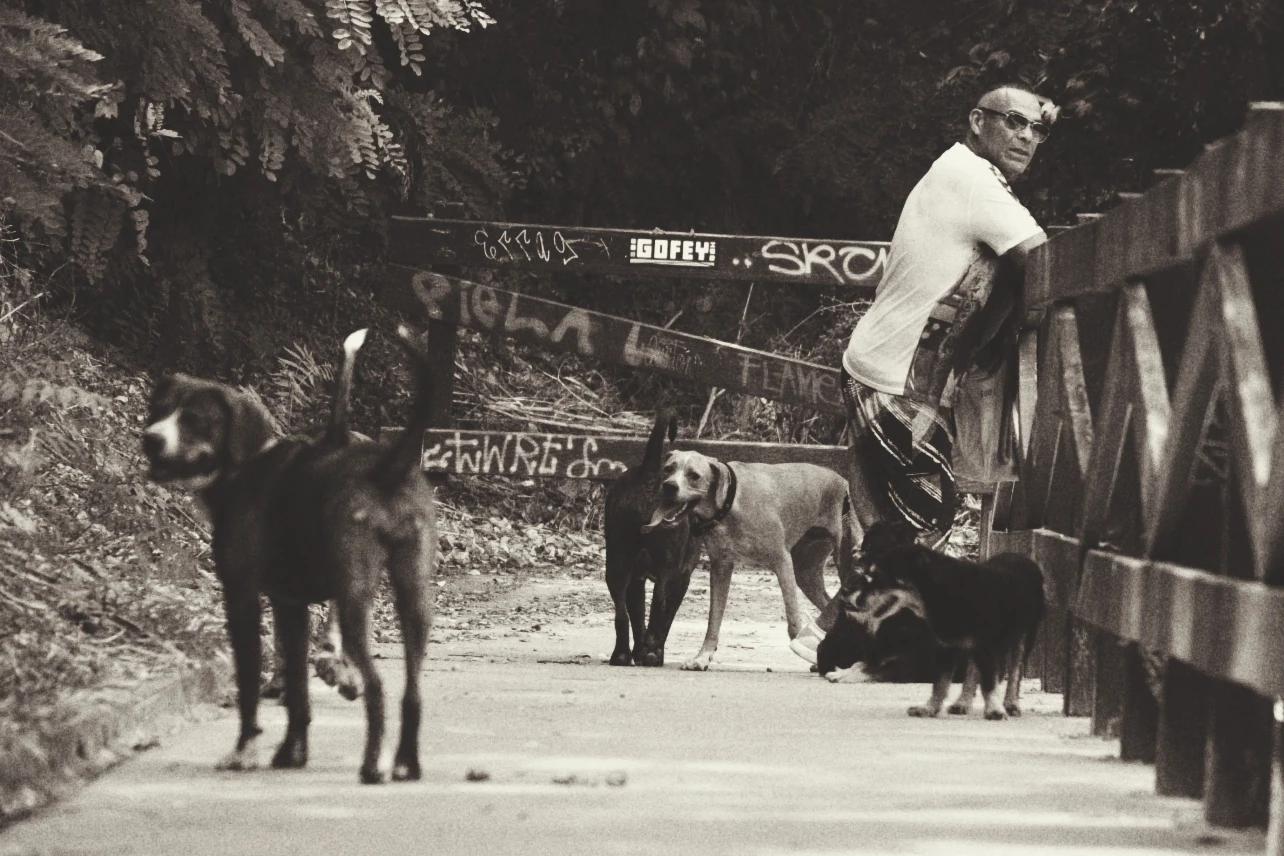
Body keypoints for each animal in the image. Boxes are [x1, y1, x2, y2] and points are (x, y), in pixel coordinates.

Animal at [142, 325, 436, 785]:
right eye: (157, 409)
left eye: (194, 420)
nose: (150, 439)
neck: (246, 465)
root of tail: (386, 466)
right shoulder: (290, 607)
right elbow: (298, 693)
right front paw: (291, 752)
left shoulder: (241, 598)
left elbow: (248, 682)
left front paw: (244, 751)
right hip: (415, 599)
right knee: (412, 691)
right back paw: (406, 762)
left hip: (355, 596)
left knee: (377, 687)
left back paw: (372, 764)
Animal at [603, 408, 703, 667]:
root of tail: (649, 476)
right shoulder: (681, 577)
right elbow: (665, 617)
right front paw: (651, 651)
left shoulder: (636, 579)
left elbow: (637, 615)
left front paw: (639, 651)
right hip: (666, 567)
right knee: (659, 603)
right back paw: (651, 655)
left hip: (617, 561)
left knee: (621, 614)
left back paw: (622, 655)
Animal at [642, 451, 852, 672]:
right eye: (668, 469)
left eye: (694, 476)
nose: (669, 486)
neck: (729, 502)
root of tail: (843, 480)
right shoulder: (721, 567)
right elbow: (713, 621)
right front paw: (702, 657)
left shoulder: (782, 562)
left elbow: (794, 620)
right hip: (805, 573)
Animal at [847, 518, 1047, 718]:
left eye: (879, 577)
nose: (856, 600)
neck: (942, 591)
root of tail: (1023, 558)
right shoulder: (947, 646)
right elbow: (940, 683)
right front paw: (929, 708)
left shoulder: (986, 645)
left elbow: (989, 683)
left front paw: (994, 711)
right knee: (973, 670)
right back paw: (962, 703)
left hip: (1024, 636)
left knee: (1015, 672)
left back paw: (1011, 704)